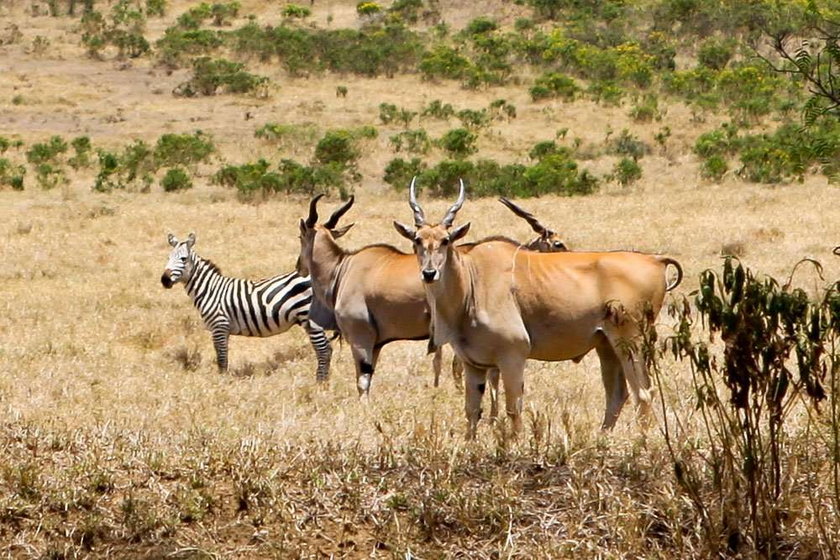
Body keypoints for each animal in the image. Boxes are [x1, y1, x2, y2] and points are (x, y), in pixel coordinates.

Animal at [159, 232, 334, 380]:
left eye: (183, 259)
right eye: (168, 257)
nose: (164, 280)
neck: (210, 290)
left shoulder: (219, 326)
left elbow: (221, 358)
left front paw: (221, 382)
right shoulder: (223, 329)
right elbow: (223, 356)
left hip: (309, 318)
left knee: (324, 350)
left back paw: (319, 383)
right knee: (327, 349)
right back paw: (325, 382)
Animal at [296, 196, 452, 394]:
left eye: (300, 236)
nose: (299, 266)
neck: (342, 268)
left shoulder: (360, 338)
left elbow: (362, 381)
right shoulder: (376, 344)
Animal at [394, 182, 684, 440]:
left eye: (445, 241)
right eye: (417, 240)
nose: (429, 273)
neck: (471, 280)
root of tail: (655, 259)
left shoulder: (513, 355)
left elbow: (513, 408)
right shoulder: (472, 363)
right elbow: (472, 410)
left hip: (630, 340)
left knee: (643, 392)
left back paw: (642, 441)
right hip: (606, 345)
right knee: (617, 394)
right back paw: (602, 439)